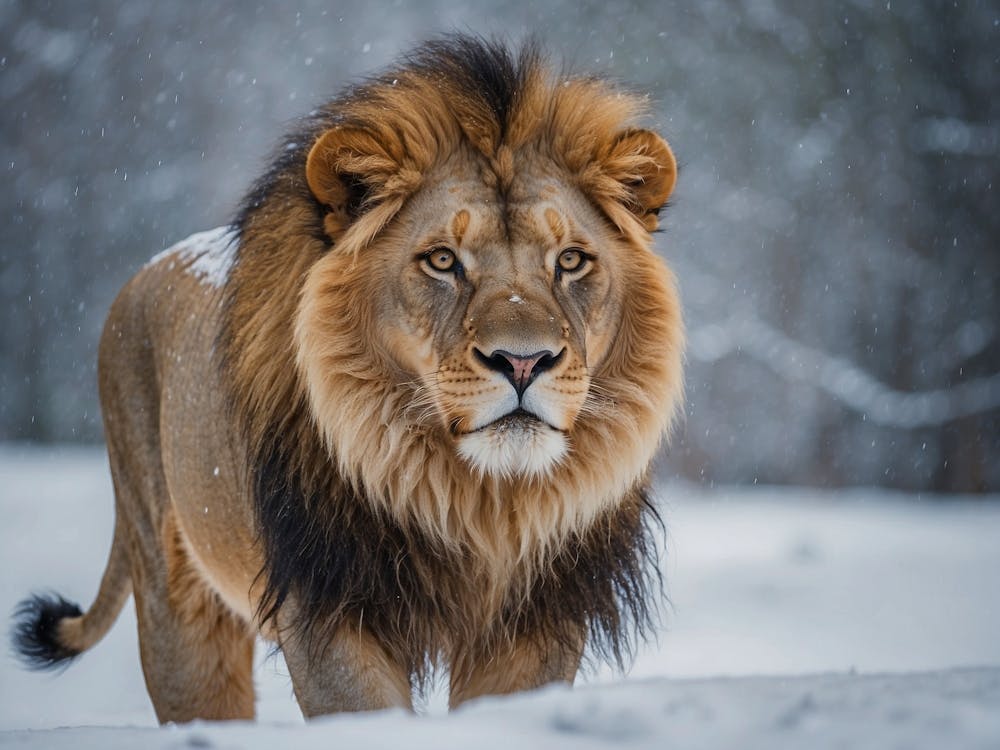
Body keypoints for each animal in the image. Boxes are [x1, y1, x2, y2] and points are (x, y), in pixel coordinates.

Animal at [11, 36, 683, 722]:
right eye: (442, 260)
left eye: (570, 260)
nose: (523, 362)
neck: (479, 503)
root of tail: (145, 274)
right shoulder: (329, 610)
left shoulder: (541, 617)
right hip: (176, 605)